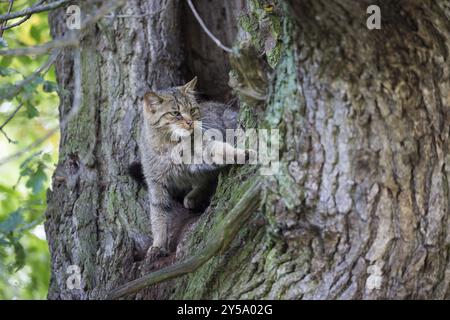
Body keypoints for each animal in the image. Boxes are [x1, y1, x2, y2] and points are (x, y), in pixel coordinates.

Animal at [135, 77, 251, 258]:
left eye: (192, 109)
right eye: (175, 113)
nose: (190, 122)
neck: (171, 145)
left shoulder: (203, 150)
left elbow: (220, 150)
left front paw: (240, 153)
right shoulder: (156, 183)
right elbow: (158, 216)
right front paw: (158, 244)